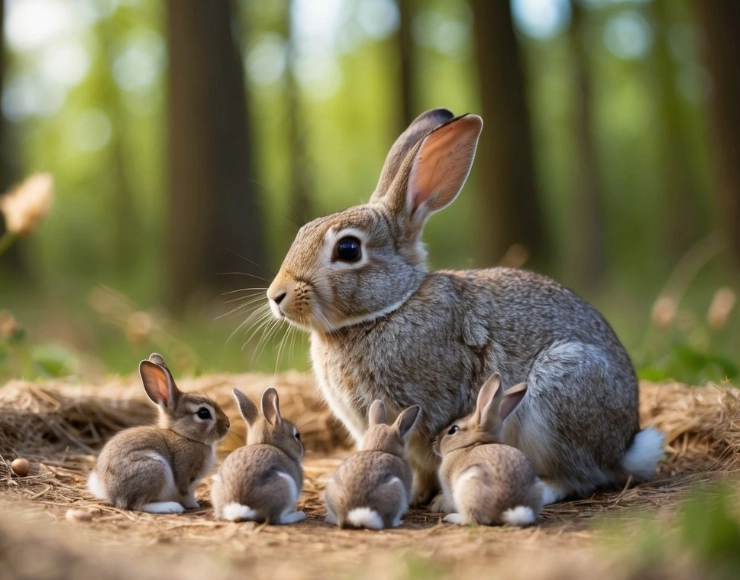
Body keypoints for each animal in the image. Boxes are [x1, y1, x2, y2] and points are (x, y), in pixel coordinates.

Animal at [88, 353, 230, 513]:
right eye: (203, 413)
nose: (227, 424)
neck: (185, 436)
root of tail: (106, 489)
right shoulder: (186, 477)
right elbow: (186, 493)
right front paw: (194, 505)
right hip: (154, 469)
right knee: (137, 504)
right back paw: (171, 507)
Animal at [211, 387, 306, 524]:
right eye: (296, 436)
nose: (303, 450)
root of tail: (241, 507)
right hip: (286, 486)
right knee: (277, 518)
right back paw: (300, 515)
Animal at [266, 108, 664, 506]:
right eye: (303, 232)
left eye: (348, 249)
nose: (276, 295)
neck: (390, 307)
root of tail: (624, 445)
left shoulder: (435, 412)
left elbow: (439, 453)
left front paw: (438, 499)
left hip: (560, 391)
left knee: (579, 476)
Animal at [434, 373, 542, 526]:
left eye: (453, 429)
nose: (435, 442)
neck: (469, 444)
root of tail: (507, 510)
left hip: (467, 487)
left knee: (471, 520)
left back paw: (452, 517)